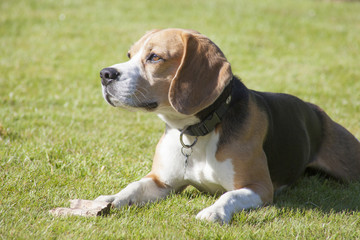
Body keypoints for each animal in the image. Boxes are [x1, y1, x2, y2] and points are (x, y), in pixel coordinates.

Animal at [96, 28, 360, 225]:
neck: (199, 131)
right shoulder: (162, 182)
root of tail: (316, 110)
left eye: (155, 57)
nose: (105, 74)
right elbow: (133, 187)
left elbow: (229, 196)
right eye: (129, 54)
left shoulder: (259, 187)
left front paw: (213, 211)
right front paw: (108, 199)